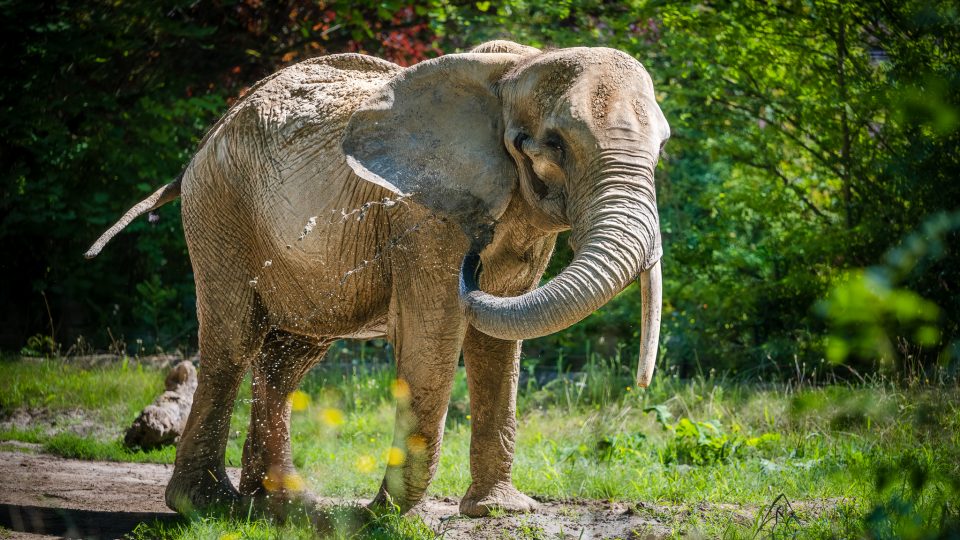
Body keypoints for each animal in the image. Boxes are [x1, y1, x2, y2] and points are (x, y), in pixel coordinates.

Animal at [88, 40, 668, 520]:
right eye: (552, 145)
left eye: (661, 150)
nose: (473, 261)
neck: (515, 71)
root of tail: (207, 139)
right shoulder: (424, 216)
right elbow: (433, 337)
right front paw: (387, 517)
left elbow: (499, 340)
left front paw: (500, 511)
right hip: (219, 209)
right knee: (233, 343)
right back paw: (211, 506)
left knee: (289, 356)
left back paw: (284, 504)